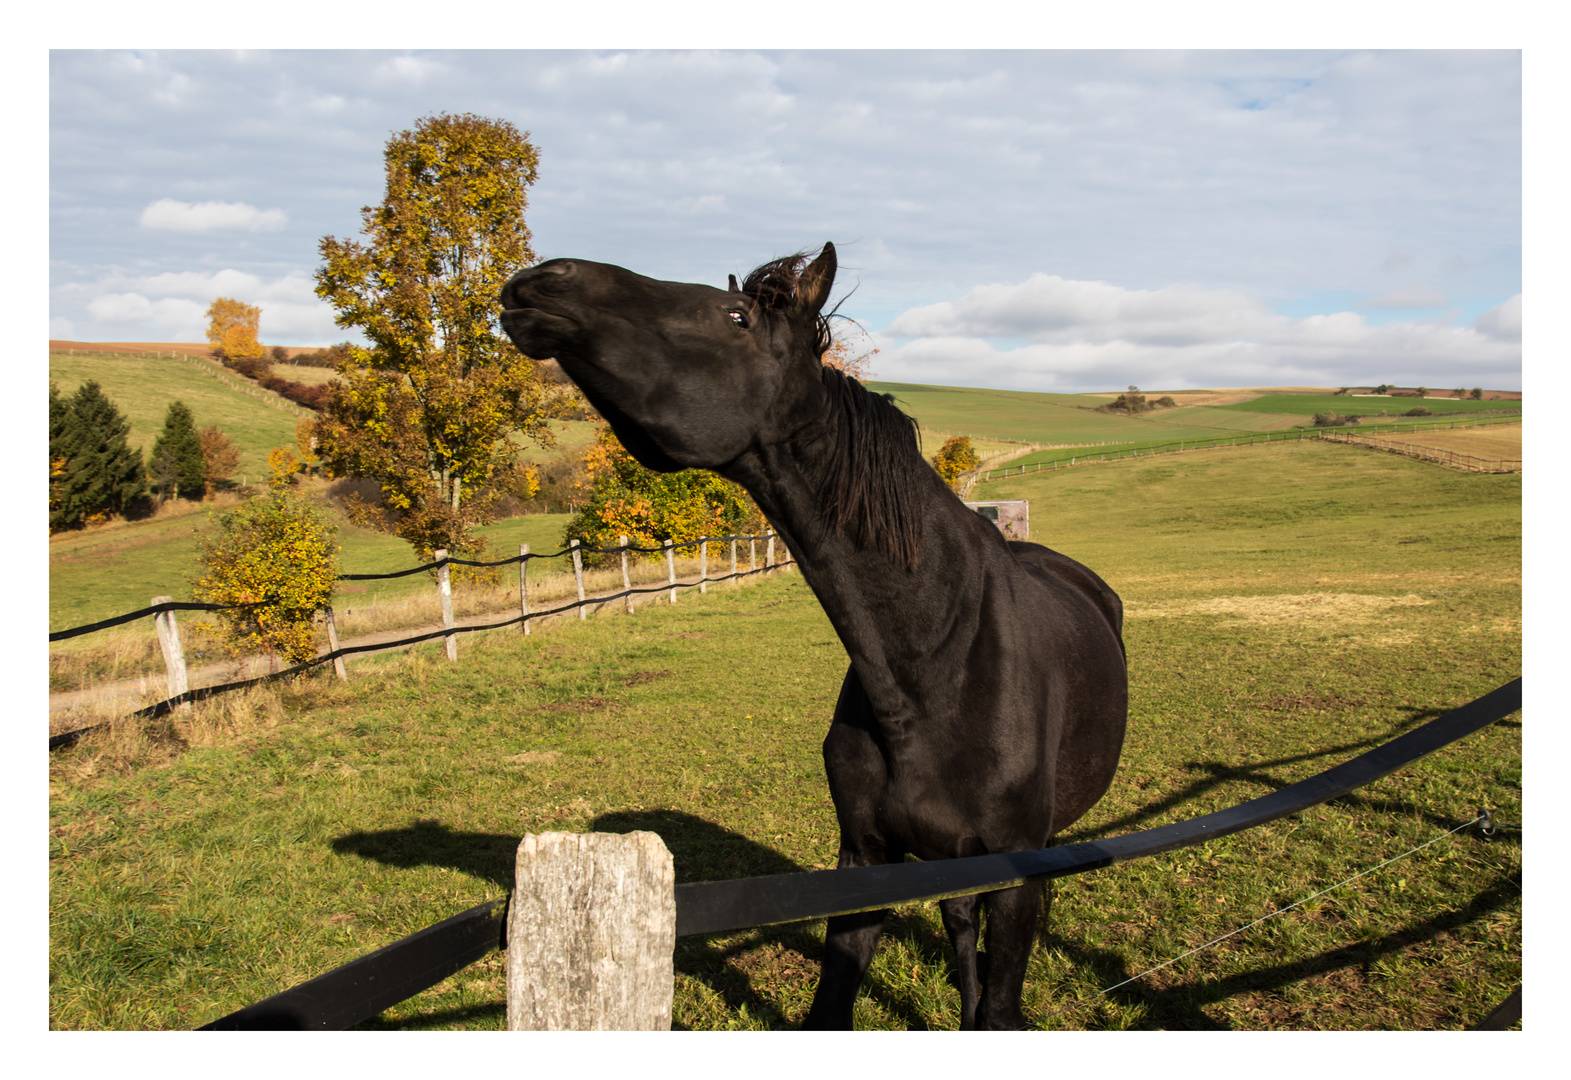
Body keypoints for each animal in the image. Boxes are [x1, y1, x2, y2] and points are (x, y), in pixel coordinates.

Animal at [496, 245, 1124, 1031]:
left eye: (734, 316)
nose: (541, 279)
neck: (936, 670)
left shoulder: (1013, 876)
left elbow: (1000, 1010)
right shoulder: (866, 860)